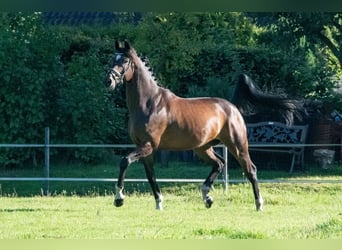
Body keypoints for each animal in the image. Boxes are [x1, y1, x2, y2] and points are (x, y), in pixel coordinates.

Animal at [108, 40, 264, 211]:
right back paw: (207, 197)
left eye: (124, 61)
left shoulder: (149, 145)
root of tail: (232, 107)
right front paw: (159, 203)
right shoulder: (143, 147)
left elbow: (125, 161)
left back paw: (259, 204)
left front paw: (119, 198)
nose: (109, 81)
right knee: (219, 163)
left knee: (250, 170)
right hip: (203, 148)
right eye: (113, 59)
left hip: (237, 145)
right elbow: (151, 175)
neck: (148, 104)